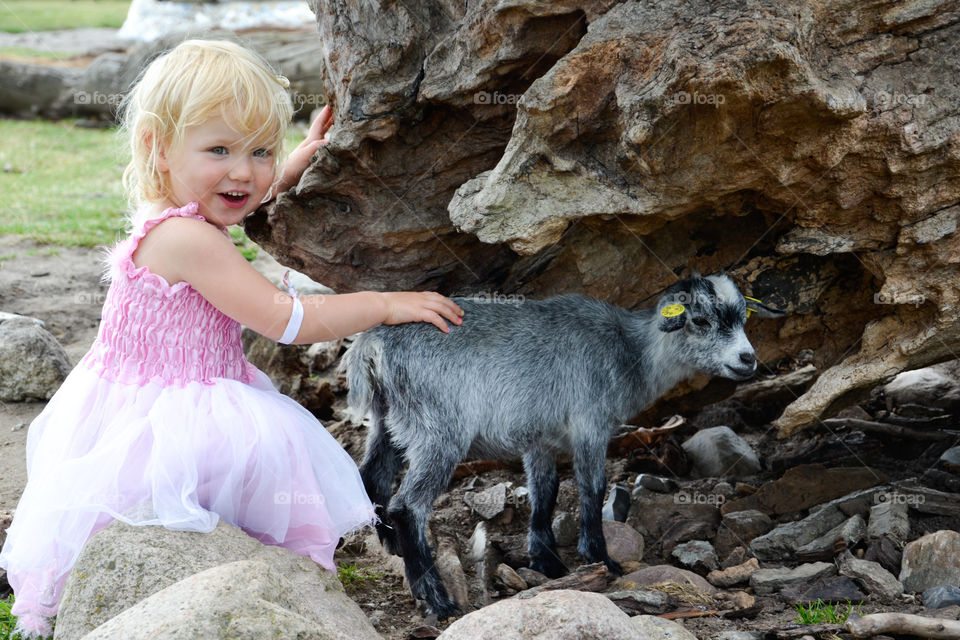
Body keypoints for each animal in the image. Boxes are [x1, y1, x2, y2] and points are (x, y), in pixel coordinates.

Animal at [344, 272, 780, 616]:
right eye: (700, 320)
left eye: (744, 318)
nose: (747, 359)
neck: (629, 352)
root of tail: (372, 346)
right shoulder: (590, 424)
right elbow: (592, 488)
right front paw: (601, 558)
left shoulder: (540, 435)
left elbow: (545, 490)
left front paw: (545, 559)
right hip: (439, 428)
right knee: (408, 505)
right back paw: (435, 598)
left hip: (389, 418)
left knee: (373, 476)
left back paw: (390, 545)